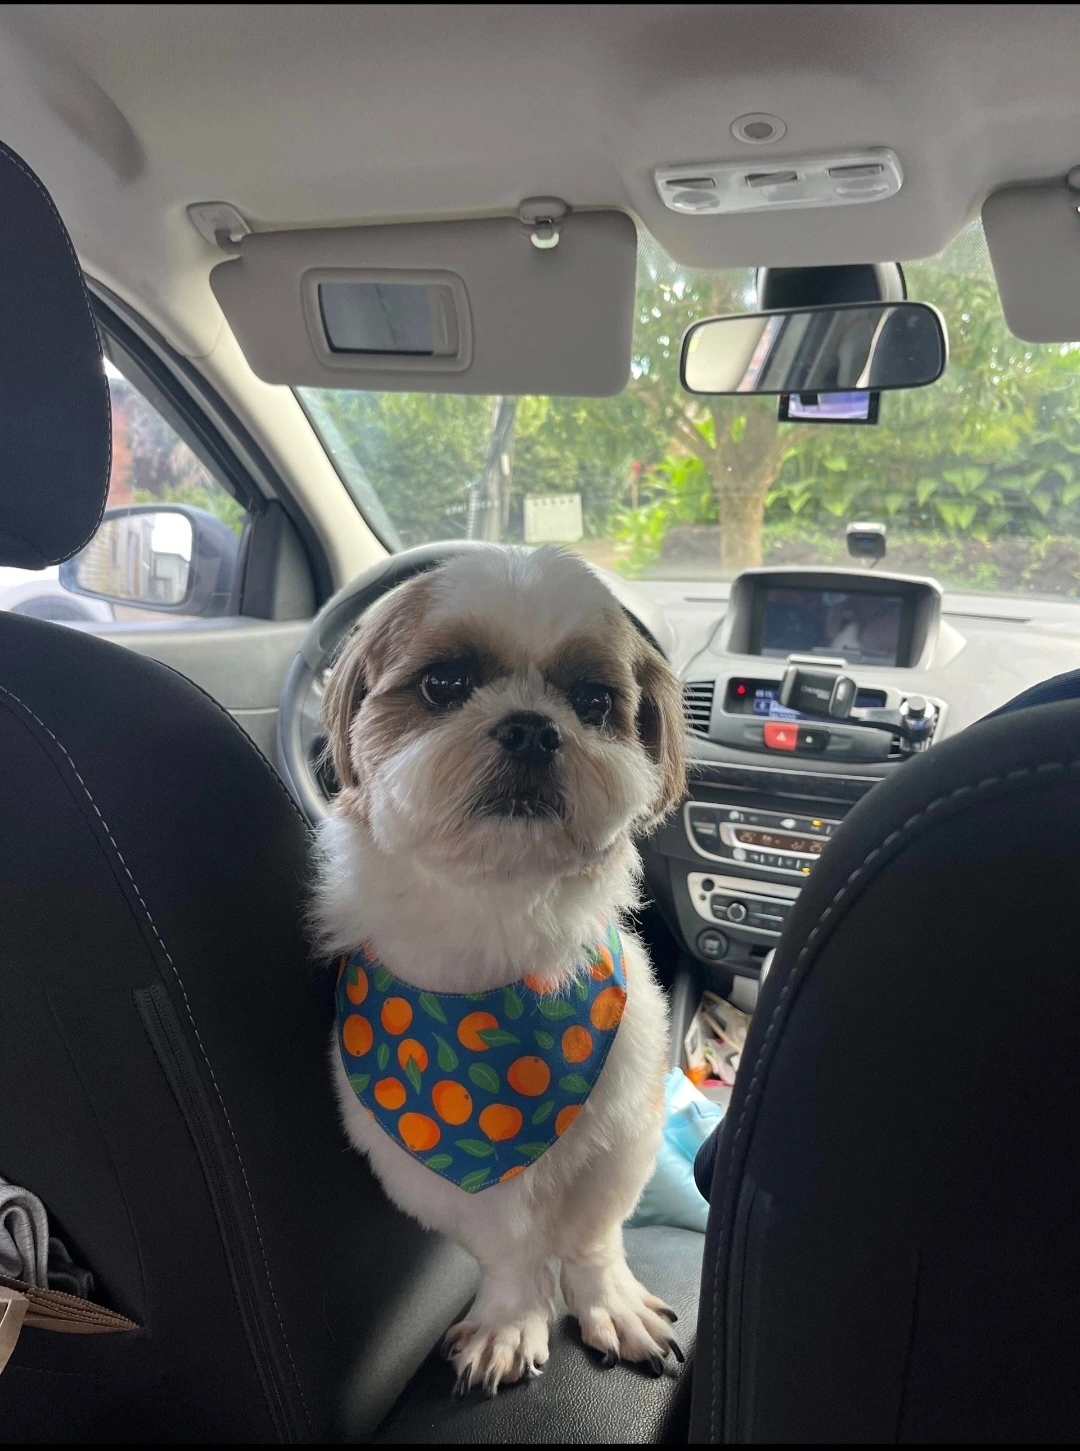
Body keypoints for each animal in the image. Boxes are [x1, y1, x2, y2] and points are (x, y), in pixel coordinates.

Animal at [314, 544, 687, 1394]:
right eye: (443, 684)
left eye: (592, 700)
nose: (531, 728)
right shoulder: (424, 1166)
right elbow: (510, 1246)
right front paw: (512, 1318)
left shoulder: (626, 1119)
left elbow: (591, 1230)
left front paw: (608, 1299)